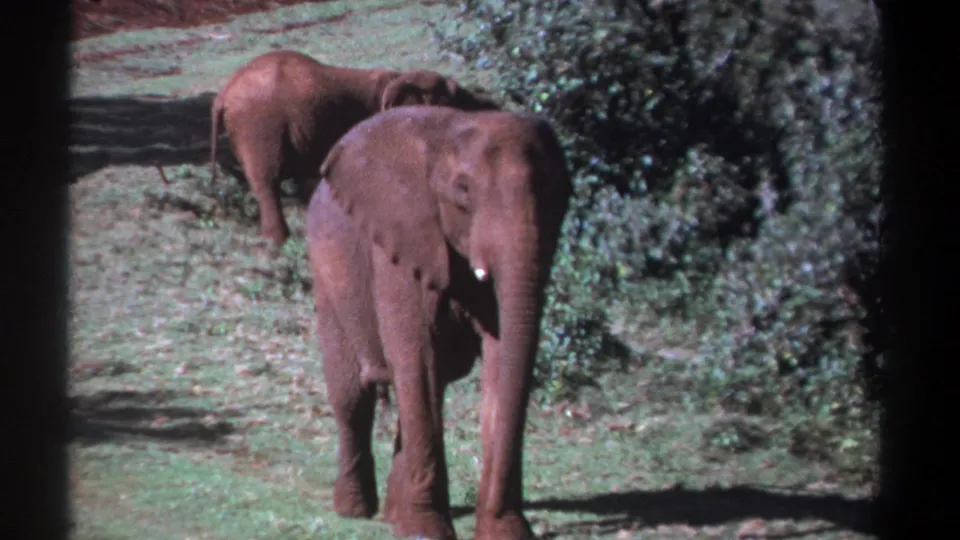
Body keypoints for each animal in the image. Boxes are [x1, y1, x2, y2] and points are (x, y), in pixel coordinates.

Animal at [209, 49, 500, 248]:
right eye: (455, 99)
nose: (494, 106)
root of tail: (224, 93)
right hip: (259, 126)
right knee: (266, 182)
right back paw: (279, 242)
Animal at [306, 105, 573, 540]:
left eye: (556, 195)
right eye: (463, 191)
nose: (496, 517)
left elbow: (499, 359)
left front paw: (505, 532)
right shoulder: (403, 243)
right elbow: (417, 357)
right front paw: (425, 530)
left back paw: (393, 515)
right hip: (325, 270)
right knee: (353, 396)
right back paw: (355, 511)